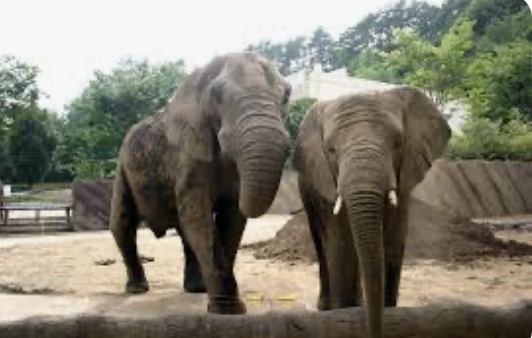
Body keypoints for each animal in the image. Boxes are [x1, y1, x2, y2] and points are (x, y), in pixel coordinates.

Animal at [294, 88, 450, 338]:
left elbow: (393, 242)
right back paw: (326, 307)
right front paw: (344, 314)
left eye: (398, 143)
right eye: (331, 150)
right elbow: (341, 245)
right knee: (320, 242)